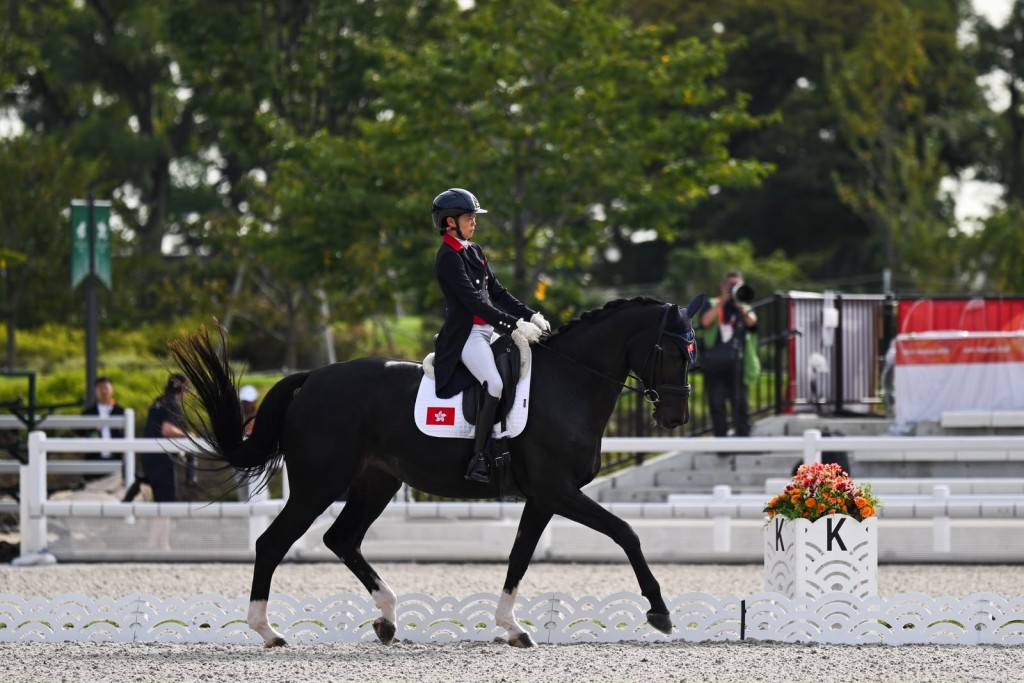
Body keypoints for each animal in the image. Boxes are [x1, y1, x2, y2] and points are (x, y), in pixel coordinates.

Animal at [169, 294, 703, 648]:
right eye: (674, 351)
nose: (676, 418)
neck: (569, 382)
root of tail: (313, 377)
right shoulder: (559, 491)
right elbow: (626, 532)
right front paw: (660, 612)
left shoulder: (542, 498)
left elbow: (519, 558)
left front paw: (512, 628)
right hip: (318, 485)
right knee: (272, 542)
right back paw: (268, 631)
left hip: (376, 483)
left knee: (341, 539)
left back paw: (386, 620)